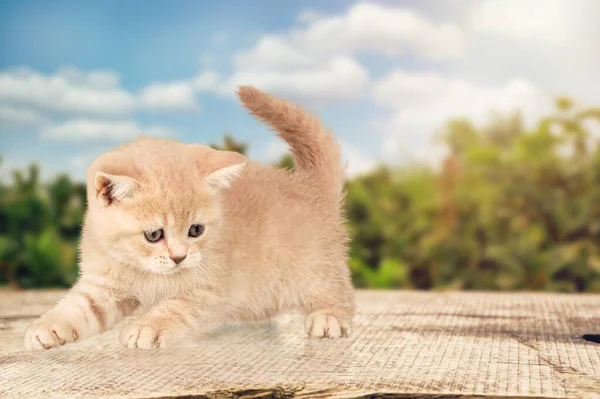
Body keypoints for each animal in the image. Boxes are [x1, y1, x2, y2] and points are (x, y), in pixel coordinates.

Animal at [24, 85, 356, 350]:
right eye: (154, 235)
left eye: (196, 230)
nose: (179, 257)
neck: (145, 272)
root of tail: (310, 185)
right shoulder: (103, 286)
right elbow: (77, 307)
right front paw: (46, 327)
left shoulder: (211, 290)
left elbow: (175, 307)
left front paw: (146, 327)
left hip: (314, 268)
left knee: (340, 292)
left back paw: (329, 316)